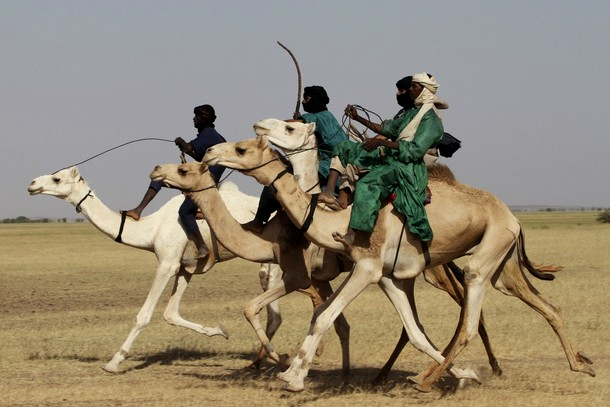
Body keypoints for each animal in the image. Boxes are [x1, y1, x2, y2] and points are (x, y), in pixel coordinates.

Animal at [27, 167, 286, 374]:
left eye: (57, 178)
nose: (32, 184)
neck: (151, 230)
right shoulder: (185, 268)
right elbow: (171, 313)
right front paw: (220, 331)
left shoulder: (167, 263)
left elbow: (143, 316)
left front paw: (114, 362)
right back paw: (258, 361)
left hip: (274, 259)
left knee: (274, 310)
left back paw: (267, 360)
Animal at [202, 135, 592, 394]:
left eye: (241, 149)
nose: (208, 152)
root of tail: (513, 216)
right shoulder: (384, 275)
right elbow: (354, 320)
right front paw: (292, 370)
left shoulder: (365, 268)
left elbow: (324, 317)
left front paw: (292, 376)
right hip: (502, 262)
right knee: (544, 305)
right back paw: (580, 363)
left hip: (480, 257)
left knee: (470, 319)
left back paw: (429, 379)